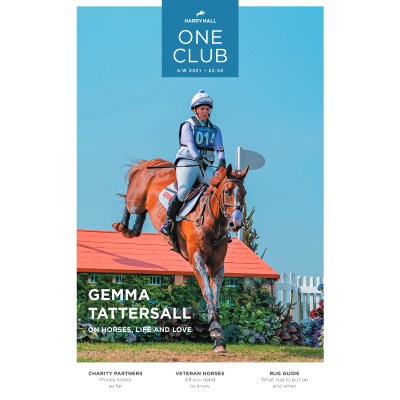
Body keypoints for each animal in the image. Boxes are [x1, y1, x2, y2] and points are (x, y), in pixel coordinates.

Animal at [112, 158, 248, 352]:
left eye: (244, 193)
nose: (235, 224)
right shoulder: (197, 260)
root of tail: (153, 161)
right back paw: (122, 226)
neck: (210, 222)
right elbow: (208, 293)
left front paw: (218, 338)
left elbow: (215, 298)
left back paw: (132, 230)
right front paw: (215, 331)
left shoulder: (217, 265)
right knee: (130, 203)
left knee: (140, 217)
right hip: (136, 197)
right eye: (227, 191)